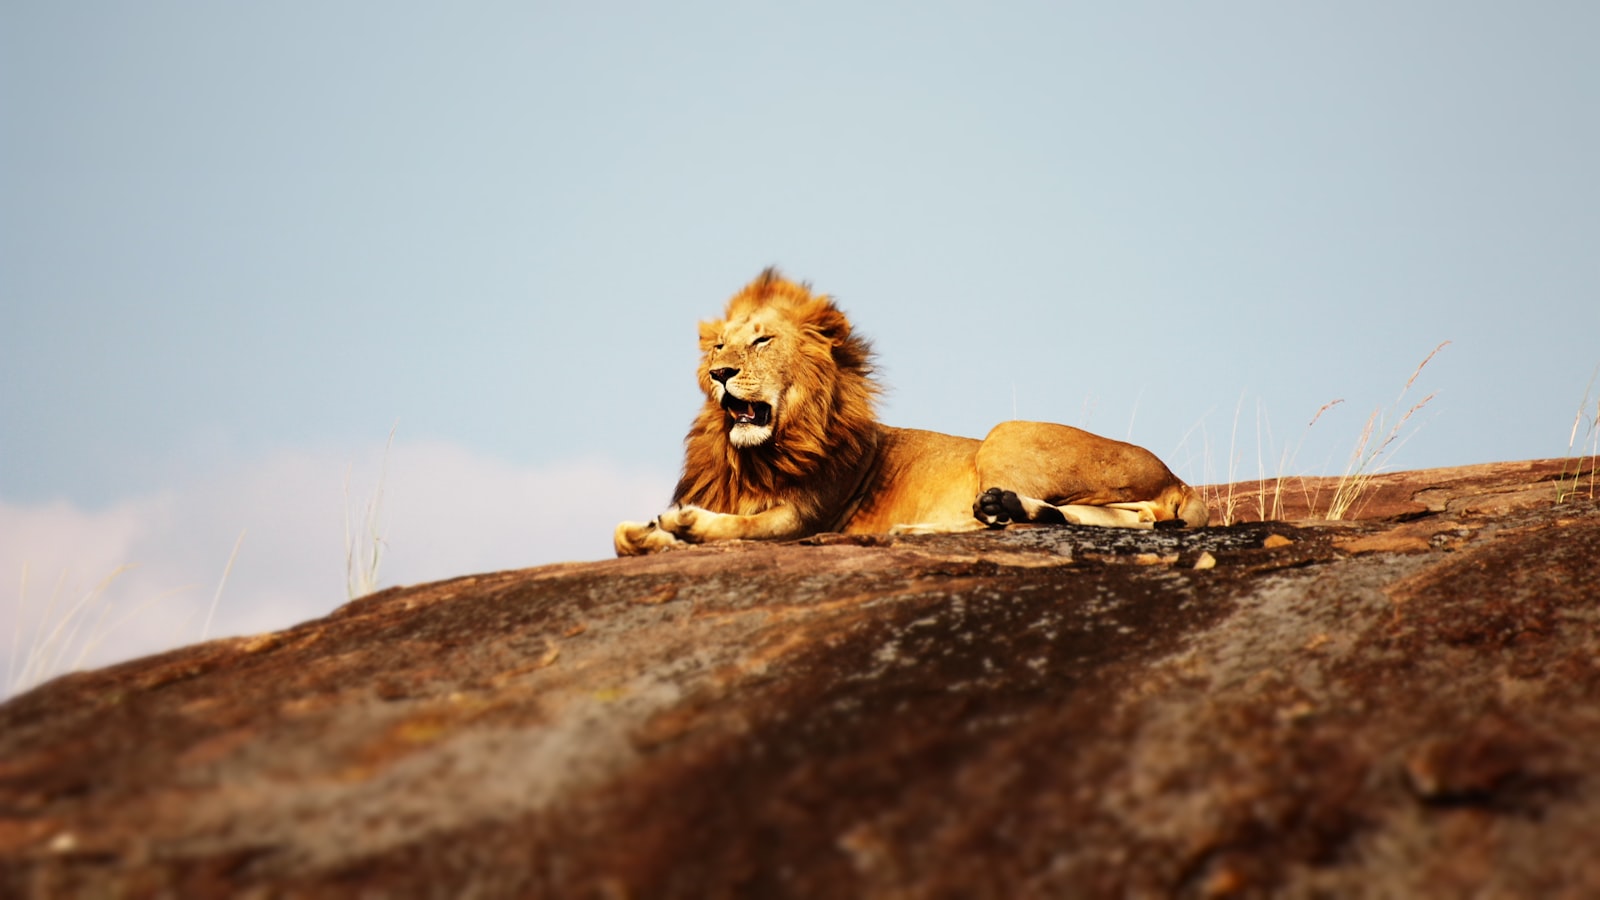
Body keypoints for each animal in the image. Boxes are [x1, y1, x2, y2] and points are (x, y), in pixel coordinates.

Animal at [614, 269, 1208, 556]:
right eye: (718, 347)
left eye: (761, 341)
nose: (720, 374)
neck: (754, 457)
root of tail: (1179, 480)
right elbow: (621, 535)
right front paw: (650, 533)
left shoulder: (804, 518)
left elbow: (740, 526)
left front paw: (684, 523)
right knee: (1123, 517)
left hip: (1005, 434)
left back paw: (938, 523)